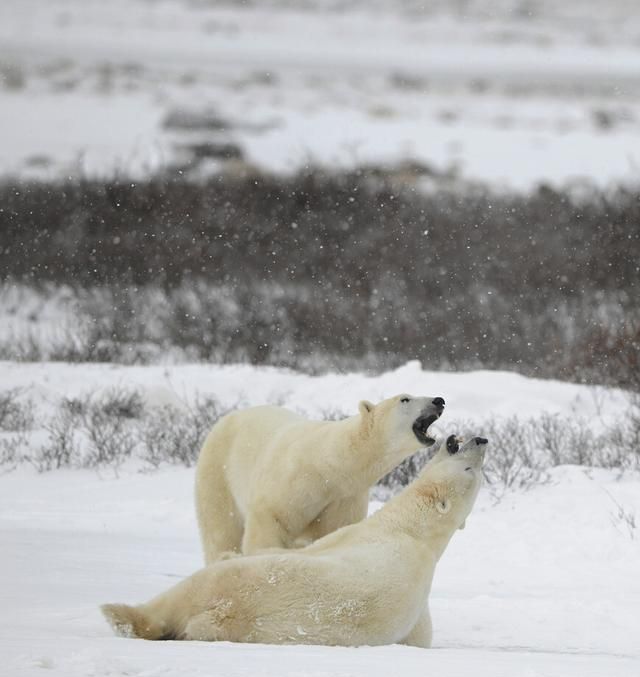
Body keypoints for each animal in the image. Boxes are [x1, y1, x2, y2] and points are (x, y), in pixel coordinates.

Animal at [102, 430, 488, 648]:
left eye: (472, 470)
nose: (480, 441)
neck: (412, 530)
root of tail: (217, 613)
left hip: (230, 588)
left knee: (184, 594)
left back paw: (121, 615)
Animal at [195, 390, 444, 560]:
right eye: (405, 399)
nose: (439, 400)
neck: (330, 463)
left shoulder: (344, 497)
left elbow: (331, 534)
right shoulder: (292, 480)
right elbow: (272, 519)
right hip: (218, 472)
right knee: (220, 529)